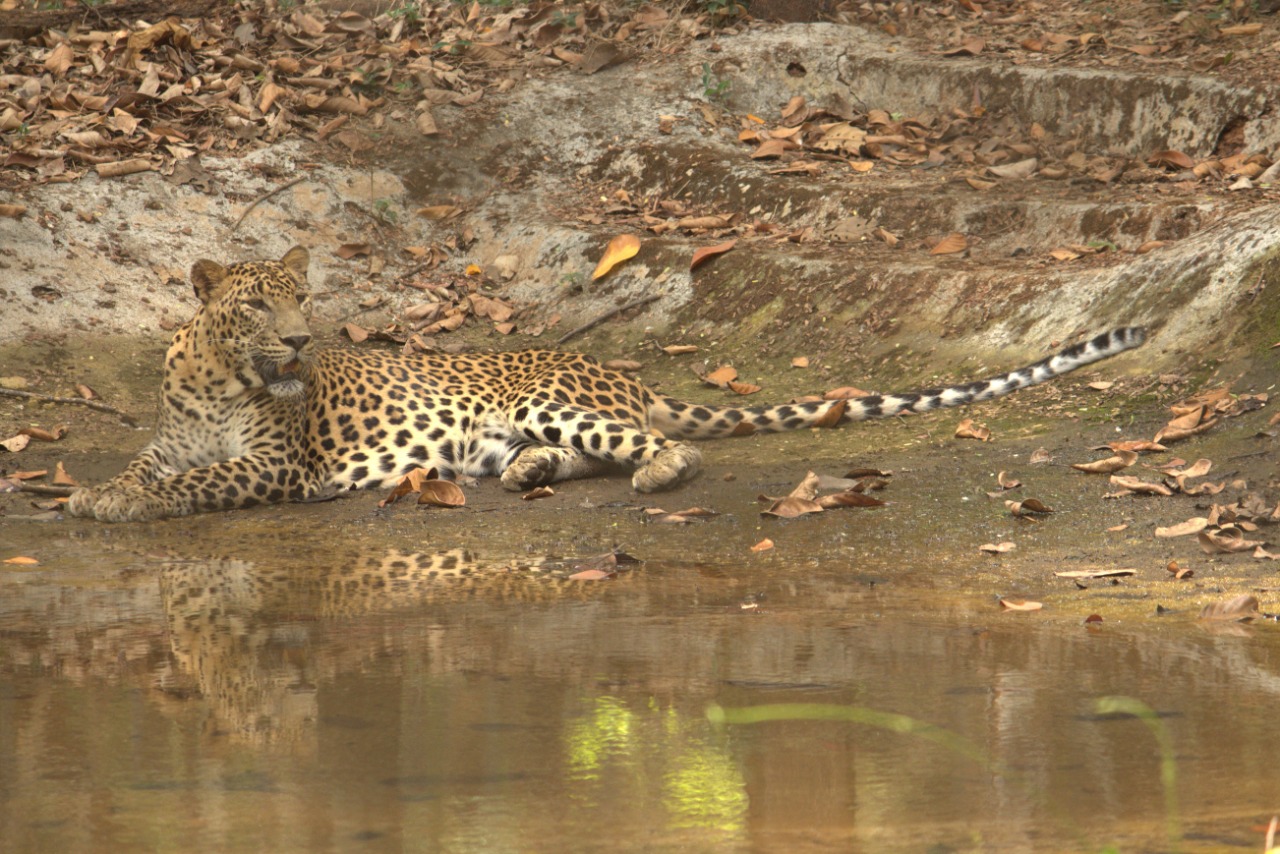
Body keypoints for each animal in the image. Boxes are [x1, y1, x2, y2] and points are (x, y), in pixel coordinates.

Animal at [70, 247, 1152, 524]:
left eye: (304, 298)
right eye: (258, 306)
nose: (298, 341)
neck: (219, 376)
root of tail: (617, 369)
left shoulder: (275, 468)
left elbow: (199, 480)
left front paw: (113, 505)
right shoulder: (175, 436)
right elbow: (156, 466)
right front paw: (95, 492)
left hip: (547, 397)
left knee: (667, 448)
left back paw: (651, 474)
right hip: (517, 426)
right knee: (566, 456)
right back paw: (529, 475)